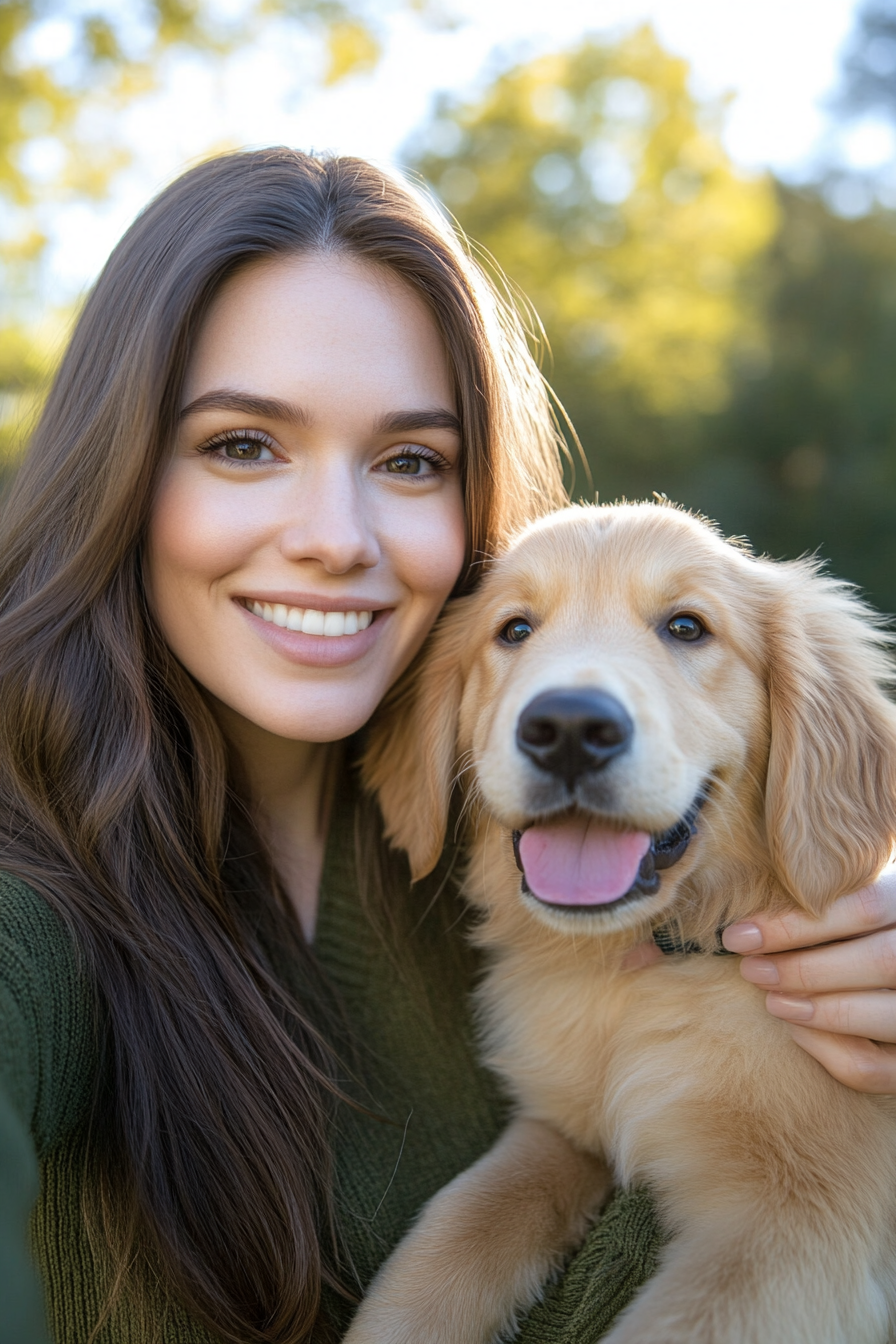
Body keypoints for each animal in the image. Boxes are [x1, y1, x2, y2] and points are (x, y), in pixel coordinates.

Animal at [346, 502, 896, 1344]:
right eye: (514, 630)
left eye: (687, 627)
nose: (569, 728)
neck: (642, 972)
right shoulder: (558, 1129)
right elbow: (451, 1233)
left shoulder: (804, 1224)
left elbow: (685, 1324)